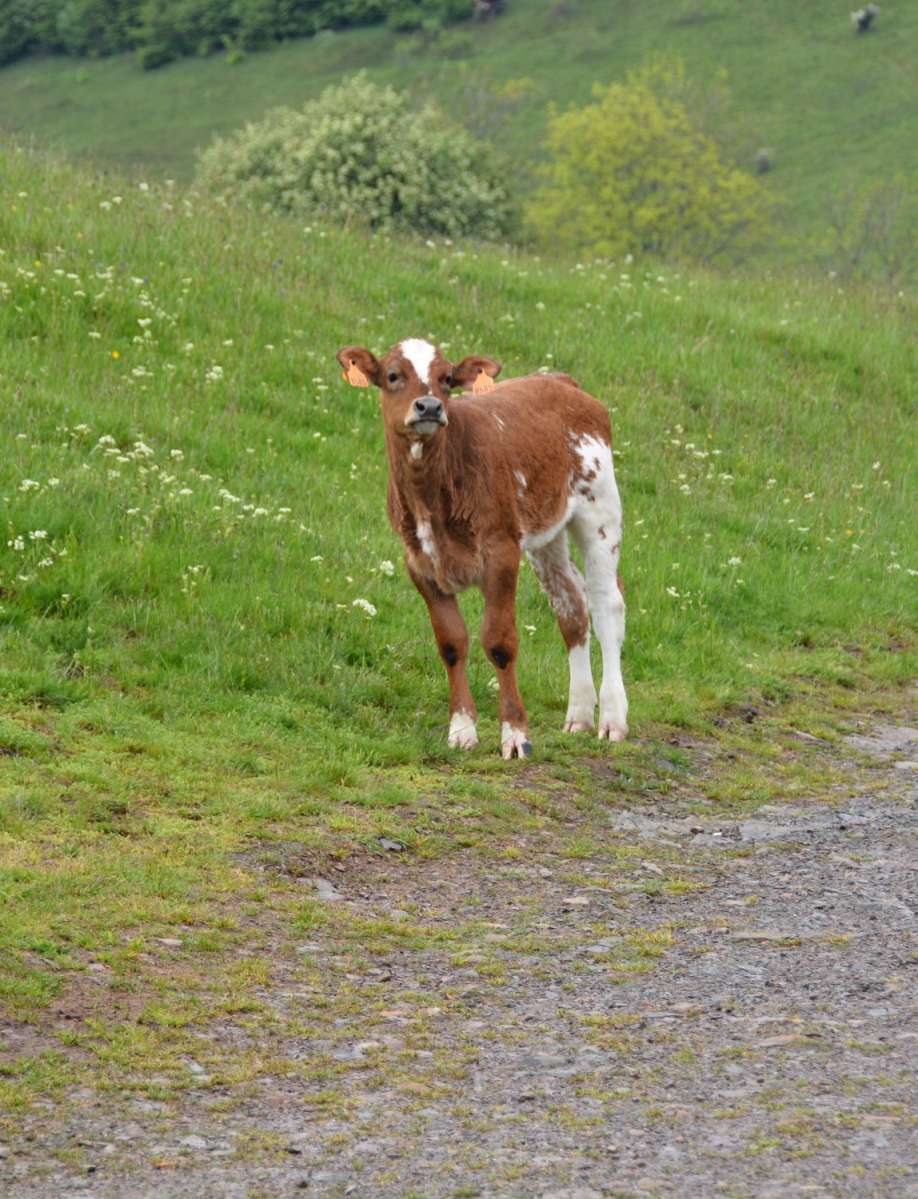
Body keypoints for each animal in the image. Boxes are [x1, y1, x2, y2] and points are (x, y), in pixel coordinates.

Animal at [337, 338, 632, 757]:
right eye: (393, 375)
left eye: (446, 379)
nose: (430, 407)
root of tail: (561, 381)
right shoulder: (420, 565)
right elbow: (451, 643)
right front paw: (461, 730)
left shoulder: (501, 553)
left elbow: (499, 642)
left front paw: (516, 736)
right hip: (547, 534)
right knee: (570, 605)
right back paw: (578, 716)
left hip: (599, 509)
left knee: (607, 604)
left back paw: (612, 718)